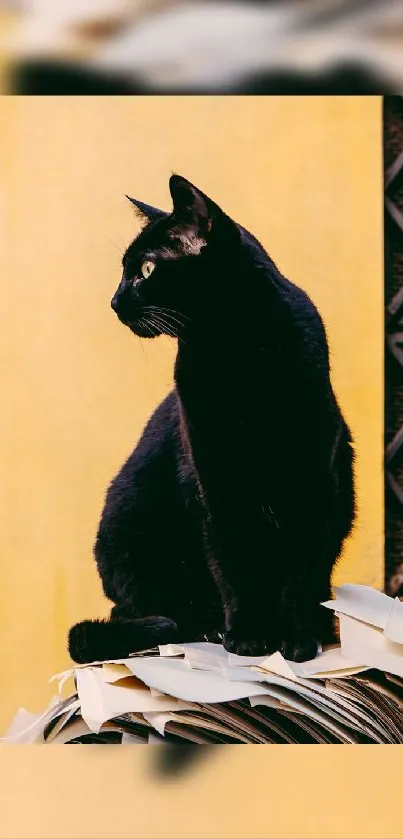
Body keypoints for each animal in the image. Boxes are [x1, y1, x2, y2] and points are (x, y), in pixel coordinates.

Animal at [68, 174, 356, 668]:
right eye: (125, 271)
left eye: (146, 270)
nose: (114, 301)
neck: (235, 349)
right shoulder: (214, 477)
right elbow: (231, 560)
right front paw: (246, 637)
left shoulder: (314, 475)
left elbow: (301, 566)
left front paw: (297, 639)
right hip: (127, 531)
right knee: (142, 609)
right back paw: (207, 626)